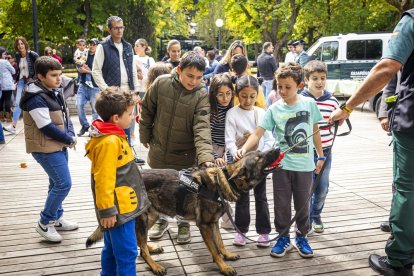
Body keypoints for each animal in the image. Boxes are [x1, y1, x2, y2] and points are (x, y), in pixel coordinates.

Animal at [85, 149, 280, 276]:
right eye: (259, 157)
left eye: (260, 152)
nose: (277, 148)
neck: (222, 181)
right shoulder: (204, 226)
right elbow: (214, 250)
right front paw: (223, 267)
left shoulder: (213, 223)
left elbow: (220, 243)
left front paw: (227, 256)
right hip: (143, 219)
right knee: (142, 249)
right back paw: (155, 266)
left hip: (151, 216)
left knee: (141, 244)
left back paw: (151, 248)